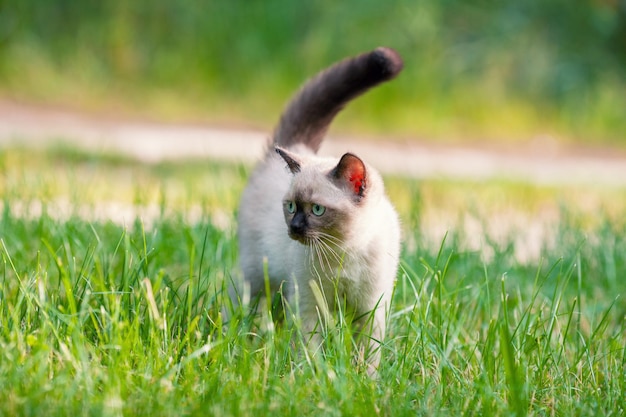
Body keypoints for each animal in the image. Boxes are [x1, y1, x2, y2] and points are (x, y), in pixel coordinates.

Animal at [233, 46, 400, 370]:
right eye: (290, 206)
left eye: (318, 210)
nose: (295, 227)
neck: (343, 252)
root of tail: (299, 147)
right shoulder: (310, 304)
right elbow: (309, 348)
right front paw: (312, 374)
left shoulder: (371, 309)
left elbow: (368, 354)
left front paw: (364, 378)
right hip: (258, 276)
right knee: (243, 306)